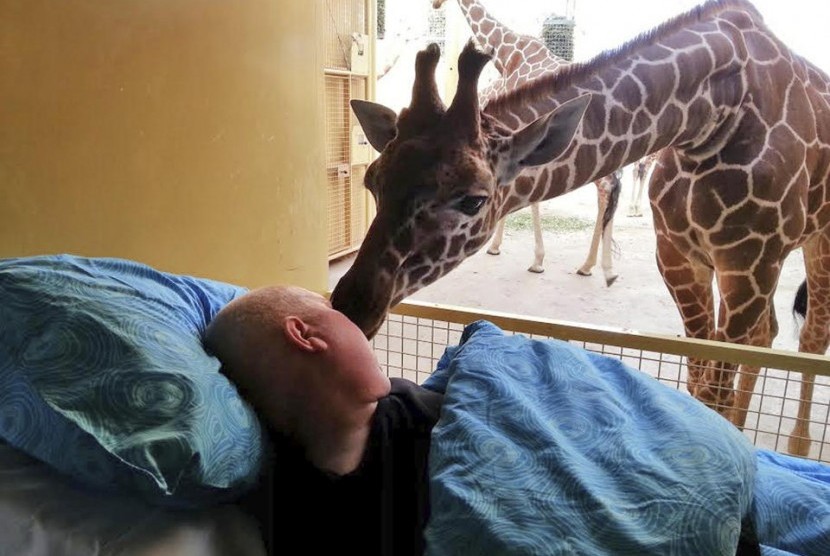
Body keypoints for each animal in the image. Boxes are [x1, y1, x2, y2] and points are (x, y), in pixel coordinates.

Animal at [438, 0, 620, 282]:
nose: (435, 5)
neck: (509, 54)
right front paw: (499, 246)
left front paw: (536, 260)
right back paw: (594, 265)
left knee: (607, 187)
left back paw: (593, 265)